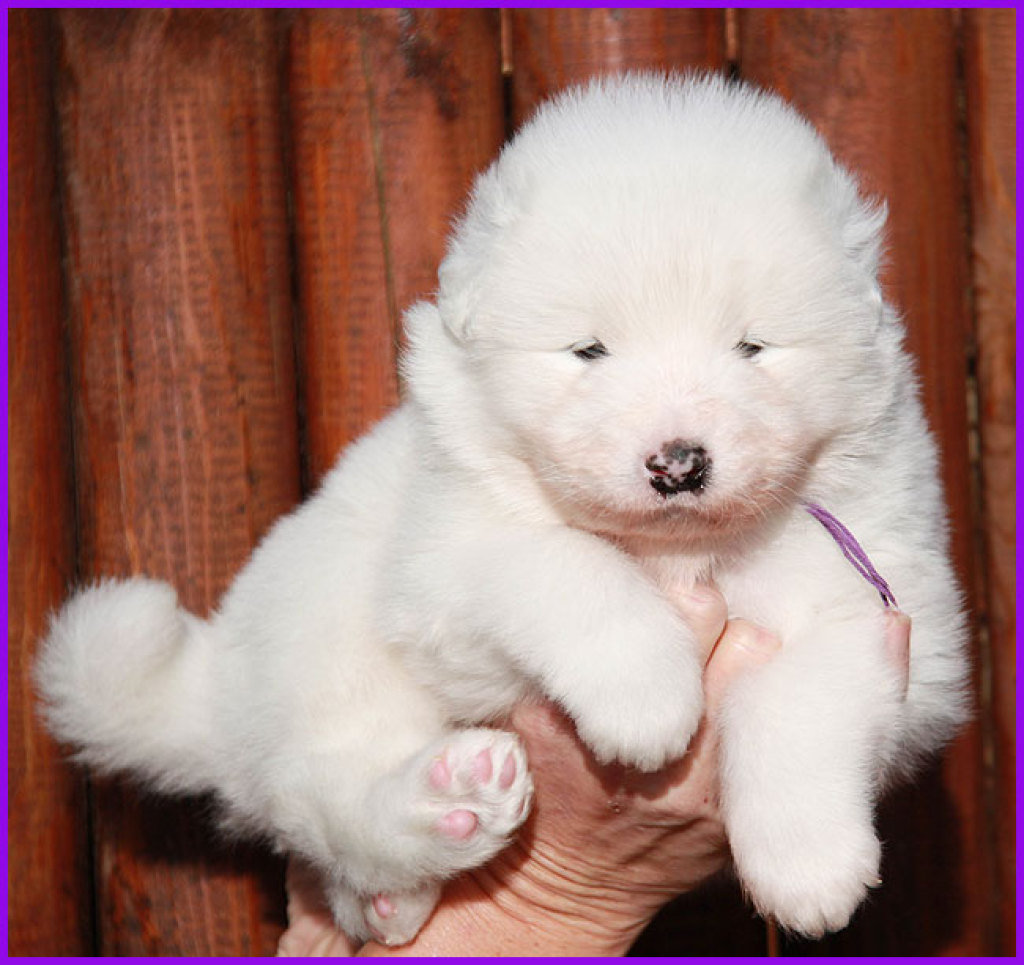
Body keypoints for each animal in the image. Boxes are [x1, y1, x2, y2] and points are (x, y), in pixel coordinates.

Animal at [36, 73, 969, 944]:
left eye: (753, 346)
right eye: (588, 350)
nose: (677, 463)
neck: (677, 553)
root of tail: (211, 684)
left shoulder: (875, 595)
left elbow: (802, 705)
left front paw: (810, 869)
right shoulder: (444, 561)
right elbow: (567, 565)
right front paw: (647, 696)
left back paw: (400, 891)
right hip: (325, 637)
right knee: (326, 791)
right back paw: (446, 805)